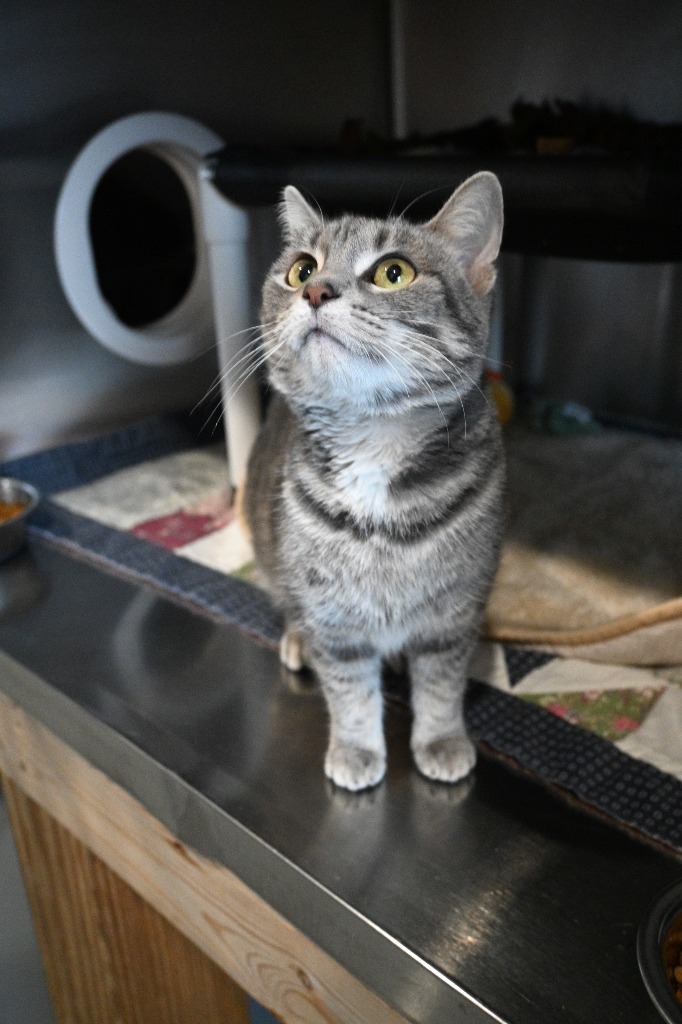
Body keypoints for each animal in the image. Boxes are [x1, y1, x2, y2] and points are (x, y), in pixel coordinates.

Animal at [244, 172, 503, 786]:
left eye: (393, 272)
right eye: (302, 269)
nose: (316, 292)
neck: (373, 443)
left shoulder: (453, 615)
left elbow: (442, 685)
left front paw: (441, 739)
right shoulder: (336, 624)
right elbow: (350, 691)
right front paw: (357, 748)